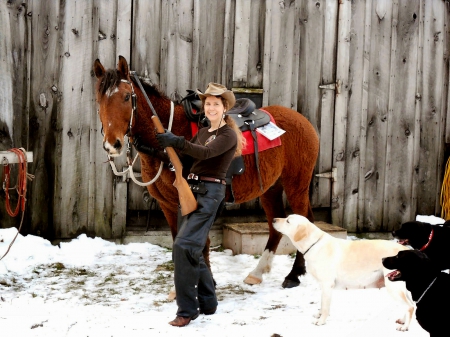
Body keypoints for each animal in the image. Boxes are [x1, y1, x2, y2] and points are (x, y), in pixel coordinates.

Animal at [93, 55, 320, 288]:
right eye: (98, 100)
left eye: (126, 97)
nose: (112, 144)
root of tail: (302, 120)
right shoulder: (168, 205)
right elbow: (177, 239)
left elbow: (199, 244)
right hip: (270, 188)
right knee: (276, 224)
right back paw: (258, 272)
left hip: (296, 185)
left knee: (306, 221)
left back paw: (294, 274)